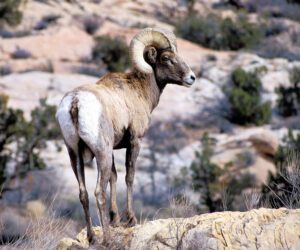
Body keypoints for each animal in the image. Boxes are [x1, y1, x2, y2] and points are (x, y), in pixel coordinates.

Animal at [56, 27, 196, 244]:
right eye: (166, 58)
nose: (191, 77)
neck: (138, 91)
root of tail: (75, 102)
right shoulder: (134, 142)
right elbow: (129, 177)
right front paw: (130, 219)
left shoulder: (113, 149)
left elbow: (114, 178)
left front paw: (116, 220)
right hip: (101, 153)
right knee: (98, 192)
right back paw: (106, 239)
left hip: (75, 155)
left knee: (83, 194)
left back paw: (92, 238)